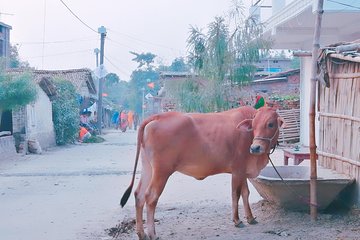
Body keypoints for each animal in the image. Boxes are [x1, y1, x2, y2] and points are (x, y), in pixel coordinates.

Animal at [121, 107, 284, 240]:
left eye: (270, 124)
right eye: (254, 125)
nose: (255, 148)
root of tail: (158, 116)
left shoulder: (243, 170)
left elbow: (245, 193)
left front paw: (250, 218)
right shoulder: (237, 170)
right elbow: (235, 194)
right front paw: (237, 220)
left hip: (148, 168)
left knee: (139, 195)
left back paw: (141, 233)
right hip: (162, 171)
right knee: (150, 197)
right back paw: (152, 234)